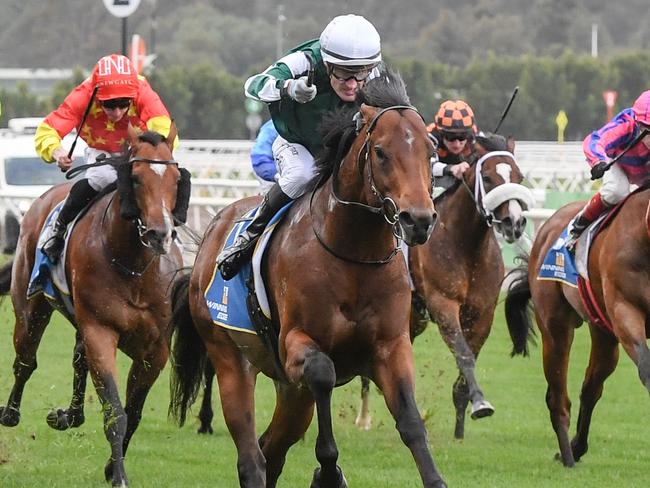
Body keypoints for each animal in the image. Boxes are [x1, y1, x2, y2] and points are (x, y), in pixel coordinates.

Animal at [0, 125, 187, 484]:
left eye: (175, 178)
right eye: (136, 177)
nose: (159, 234)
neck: (132, 266)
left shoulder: (155, 349)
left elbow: (134, 411)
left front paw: (112, 467)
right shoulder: (100, 331)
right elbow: (116, 412)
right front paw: (120, 475)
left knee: (77, 359)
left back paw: (68, 415)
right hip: (32, 308)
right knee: (25, 361)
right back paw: (10, 414)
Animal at [167, 70, 446, 486]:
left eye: (430, 152)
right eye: (381, 152)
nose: (419, 220)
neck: (354, 255)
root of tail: (208, 239)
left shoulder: (390, 345)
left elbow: (411, 421)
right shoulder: (295, 343)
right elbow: (323, 374)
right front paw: (328, 470)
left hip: (289, 391)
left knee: (272, 449)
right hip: (230, 359)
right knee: (251, 456)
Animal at [354, 134, 532, 438]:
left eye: (518, 176)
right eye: (487, 177)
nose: (515, 222)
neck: (467, 247)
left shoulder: (482, 313)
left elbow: (468, 359)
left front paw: (461, 428)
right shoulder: (443, 304)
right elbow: (464, 354)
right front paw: (481, 403)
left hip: (413, 318)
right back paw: (363, 417)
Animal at [504, 191, 648, 466]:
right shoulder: (624, 311)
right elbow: (646, 368)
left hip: (603, 333)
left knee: (591, 388)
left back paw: (576, 447)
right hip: (556, 328)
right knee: (558, 398)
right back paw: (568, 457)